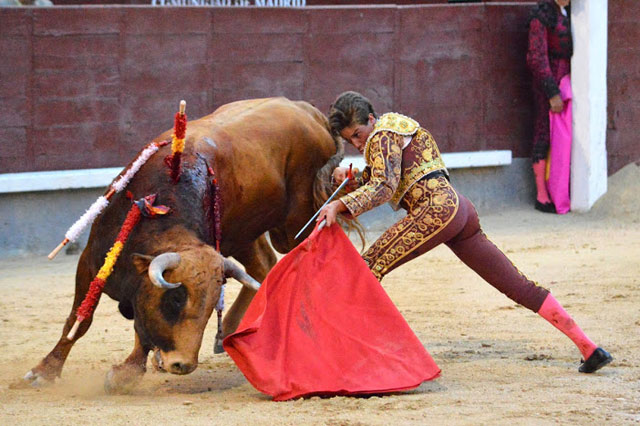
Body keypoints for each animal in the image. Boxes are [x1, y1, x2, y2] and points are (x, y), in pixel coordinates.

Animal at [23, 96, 344, 392]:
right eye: (176, 299)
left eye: (211, 305)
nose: (183, 365)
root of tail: (310, 112)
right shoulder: (91, 261)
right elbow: (80, 319)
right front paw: (44, 371)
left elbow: (141, 331)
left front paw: (126, 373)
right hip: (243, 234)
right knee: (264, 266)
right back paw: (227, 331)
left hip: (290, 227)